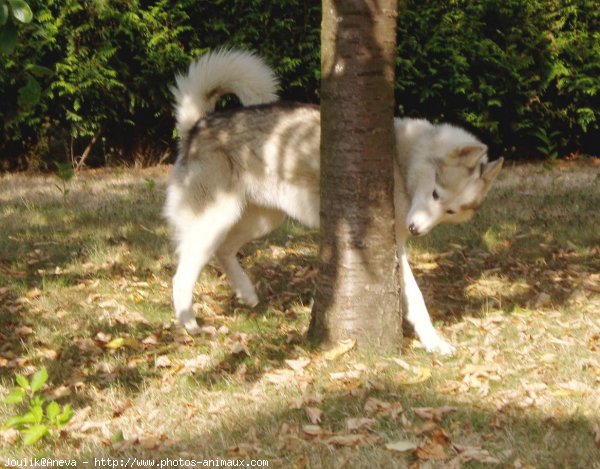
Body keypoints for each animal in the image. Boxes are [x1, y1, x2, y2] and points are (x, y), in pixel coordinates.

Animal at [163, 49, 502, 352]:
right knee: (182, 275)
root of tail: (198, 125)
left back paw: (246, 293)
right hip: (216, 219)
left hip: (260, 220)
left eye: (450, 210)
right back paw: (189, 323)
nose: (416, 229)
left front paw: (433, 343)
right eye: (434, 193)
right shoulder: (392, 244)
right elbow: (417, 298)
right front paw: (434, 341)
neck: (402, 160)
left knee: (224, 252)